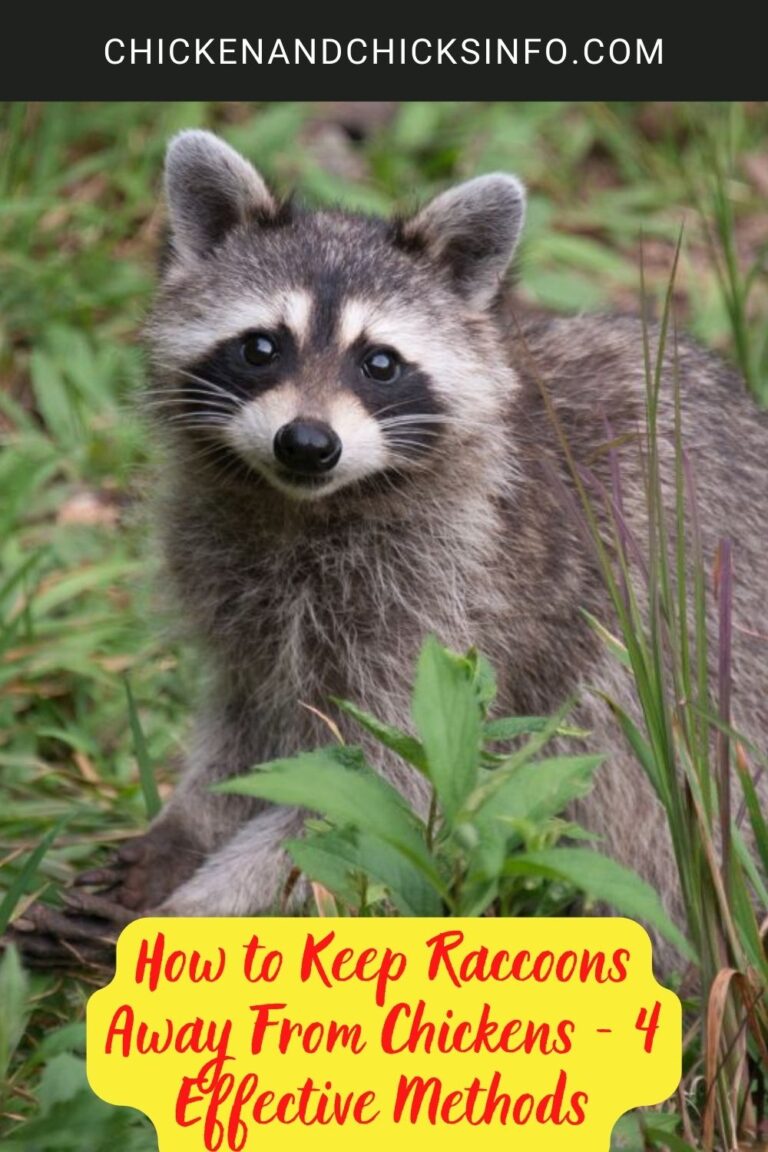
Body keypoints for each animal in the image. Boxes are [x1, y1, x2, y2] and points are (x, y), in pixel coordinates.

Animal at [18, 130, 768, 968]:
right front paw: (185, 828)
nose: (307, 443)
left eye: (379, 363)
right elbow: (247, 728)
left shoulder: (455, 606)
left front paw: (196, 909)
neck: (305, 507)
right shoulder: (233, 581)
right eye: (259, 348)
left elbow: (376, 797)